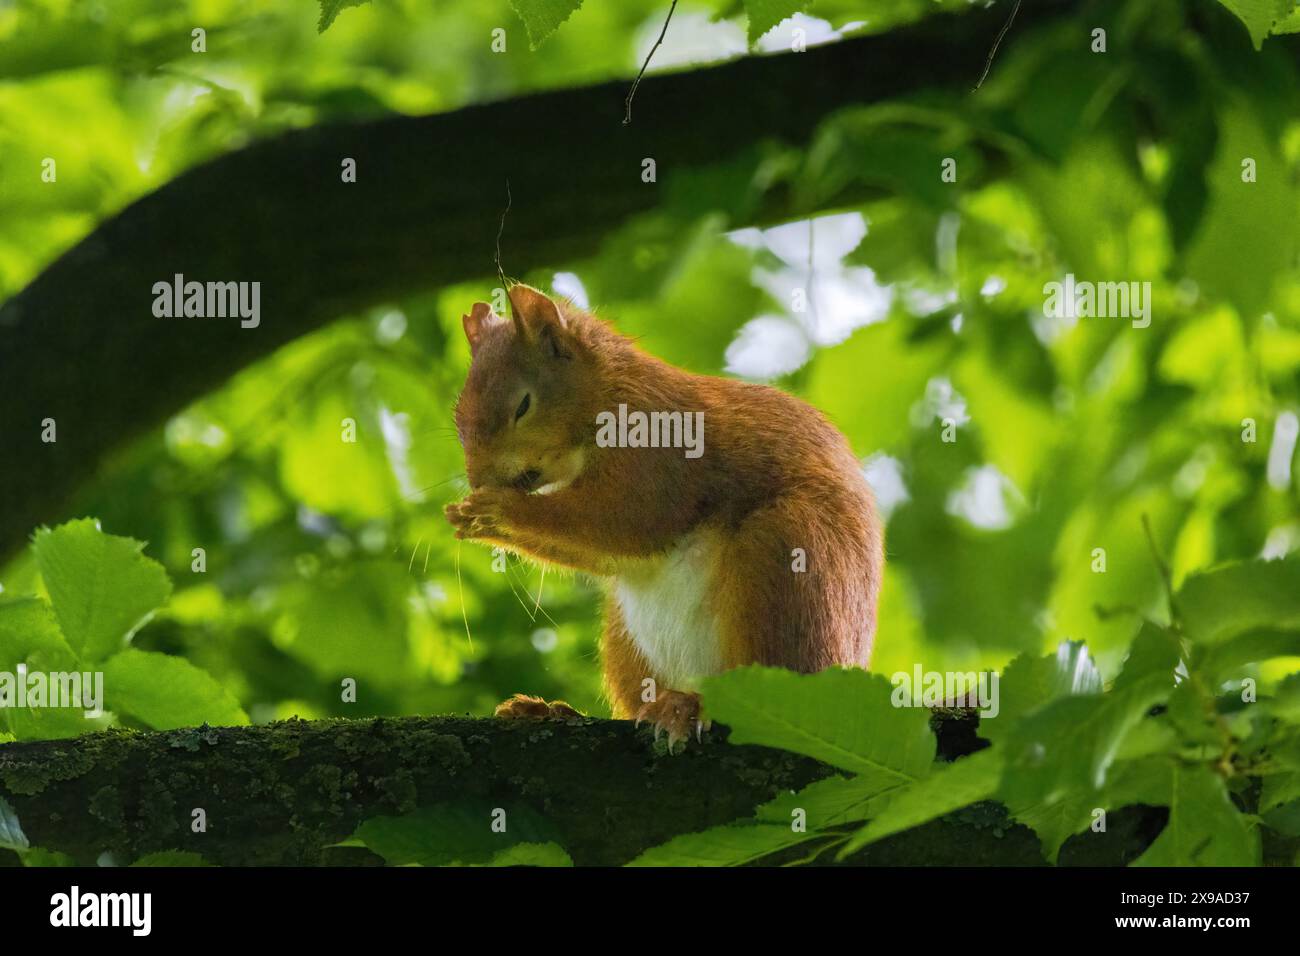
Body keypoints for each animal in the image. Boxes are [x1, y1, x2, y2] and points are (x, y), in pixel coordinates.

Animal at [447, 283, 883, 749]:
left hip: (787, 557)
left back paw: (690, 707)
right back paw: (555, 711)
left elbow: (629, 519)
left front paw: (493, 510)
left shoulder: (660, 451)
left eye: (523, 405)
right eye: (458, 419)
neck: (608, 393)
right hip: (625, 638)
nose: (478, 481)